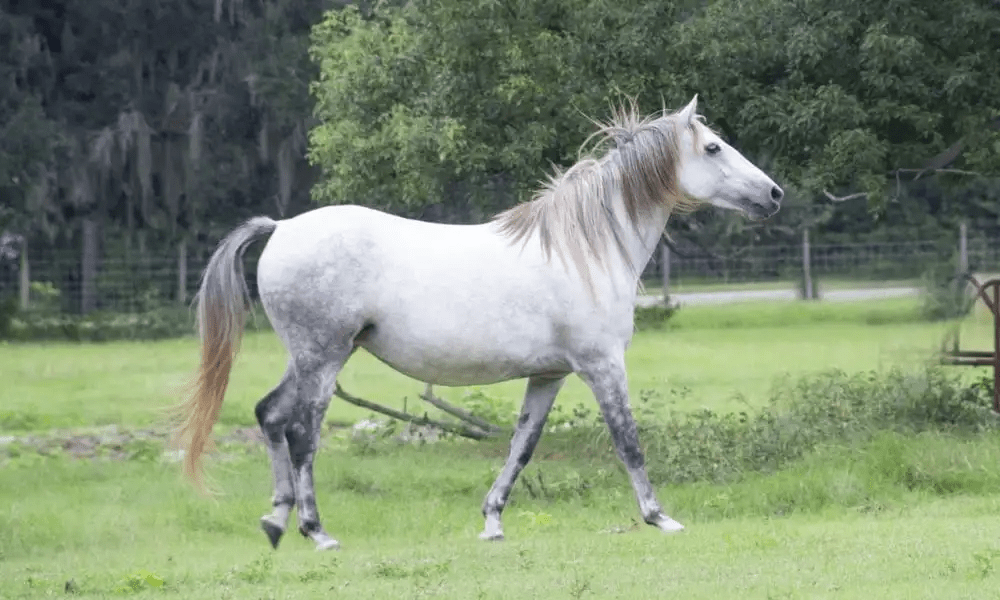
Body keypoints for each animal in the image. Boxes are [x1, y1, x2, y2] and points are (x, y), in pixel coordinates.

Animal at [175, 96, 782, 551]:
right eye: (712, 146)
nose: (773, 193)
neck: (584, 248)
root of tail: (281, 228)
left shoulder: (549, 376)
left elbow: (522, 446)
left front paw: (492, 522)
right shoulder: (602, 366)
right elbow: (627, 440)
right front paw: (659, 517)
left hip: (311, 358)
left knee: (270, 415)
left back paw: (276, 522)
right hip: (323, 360)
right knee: (302, 431)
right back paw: (316, 531)